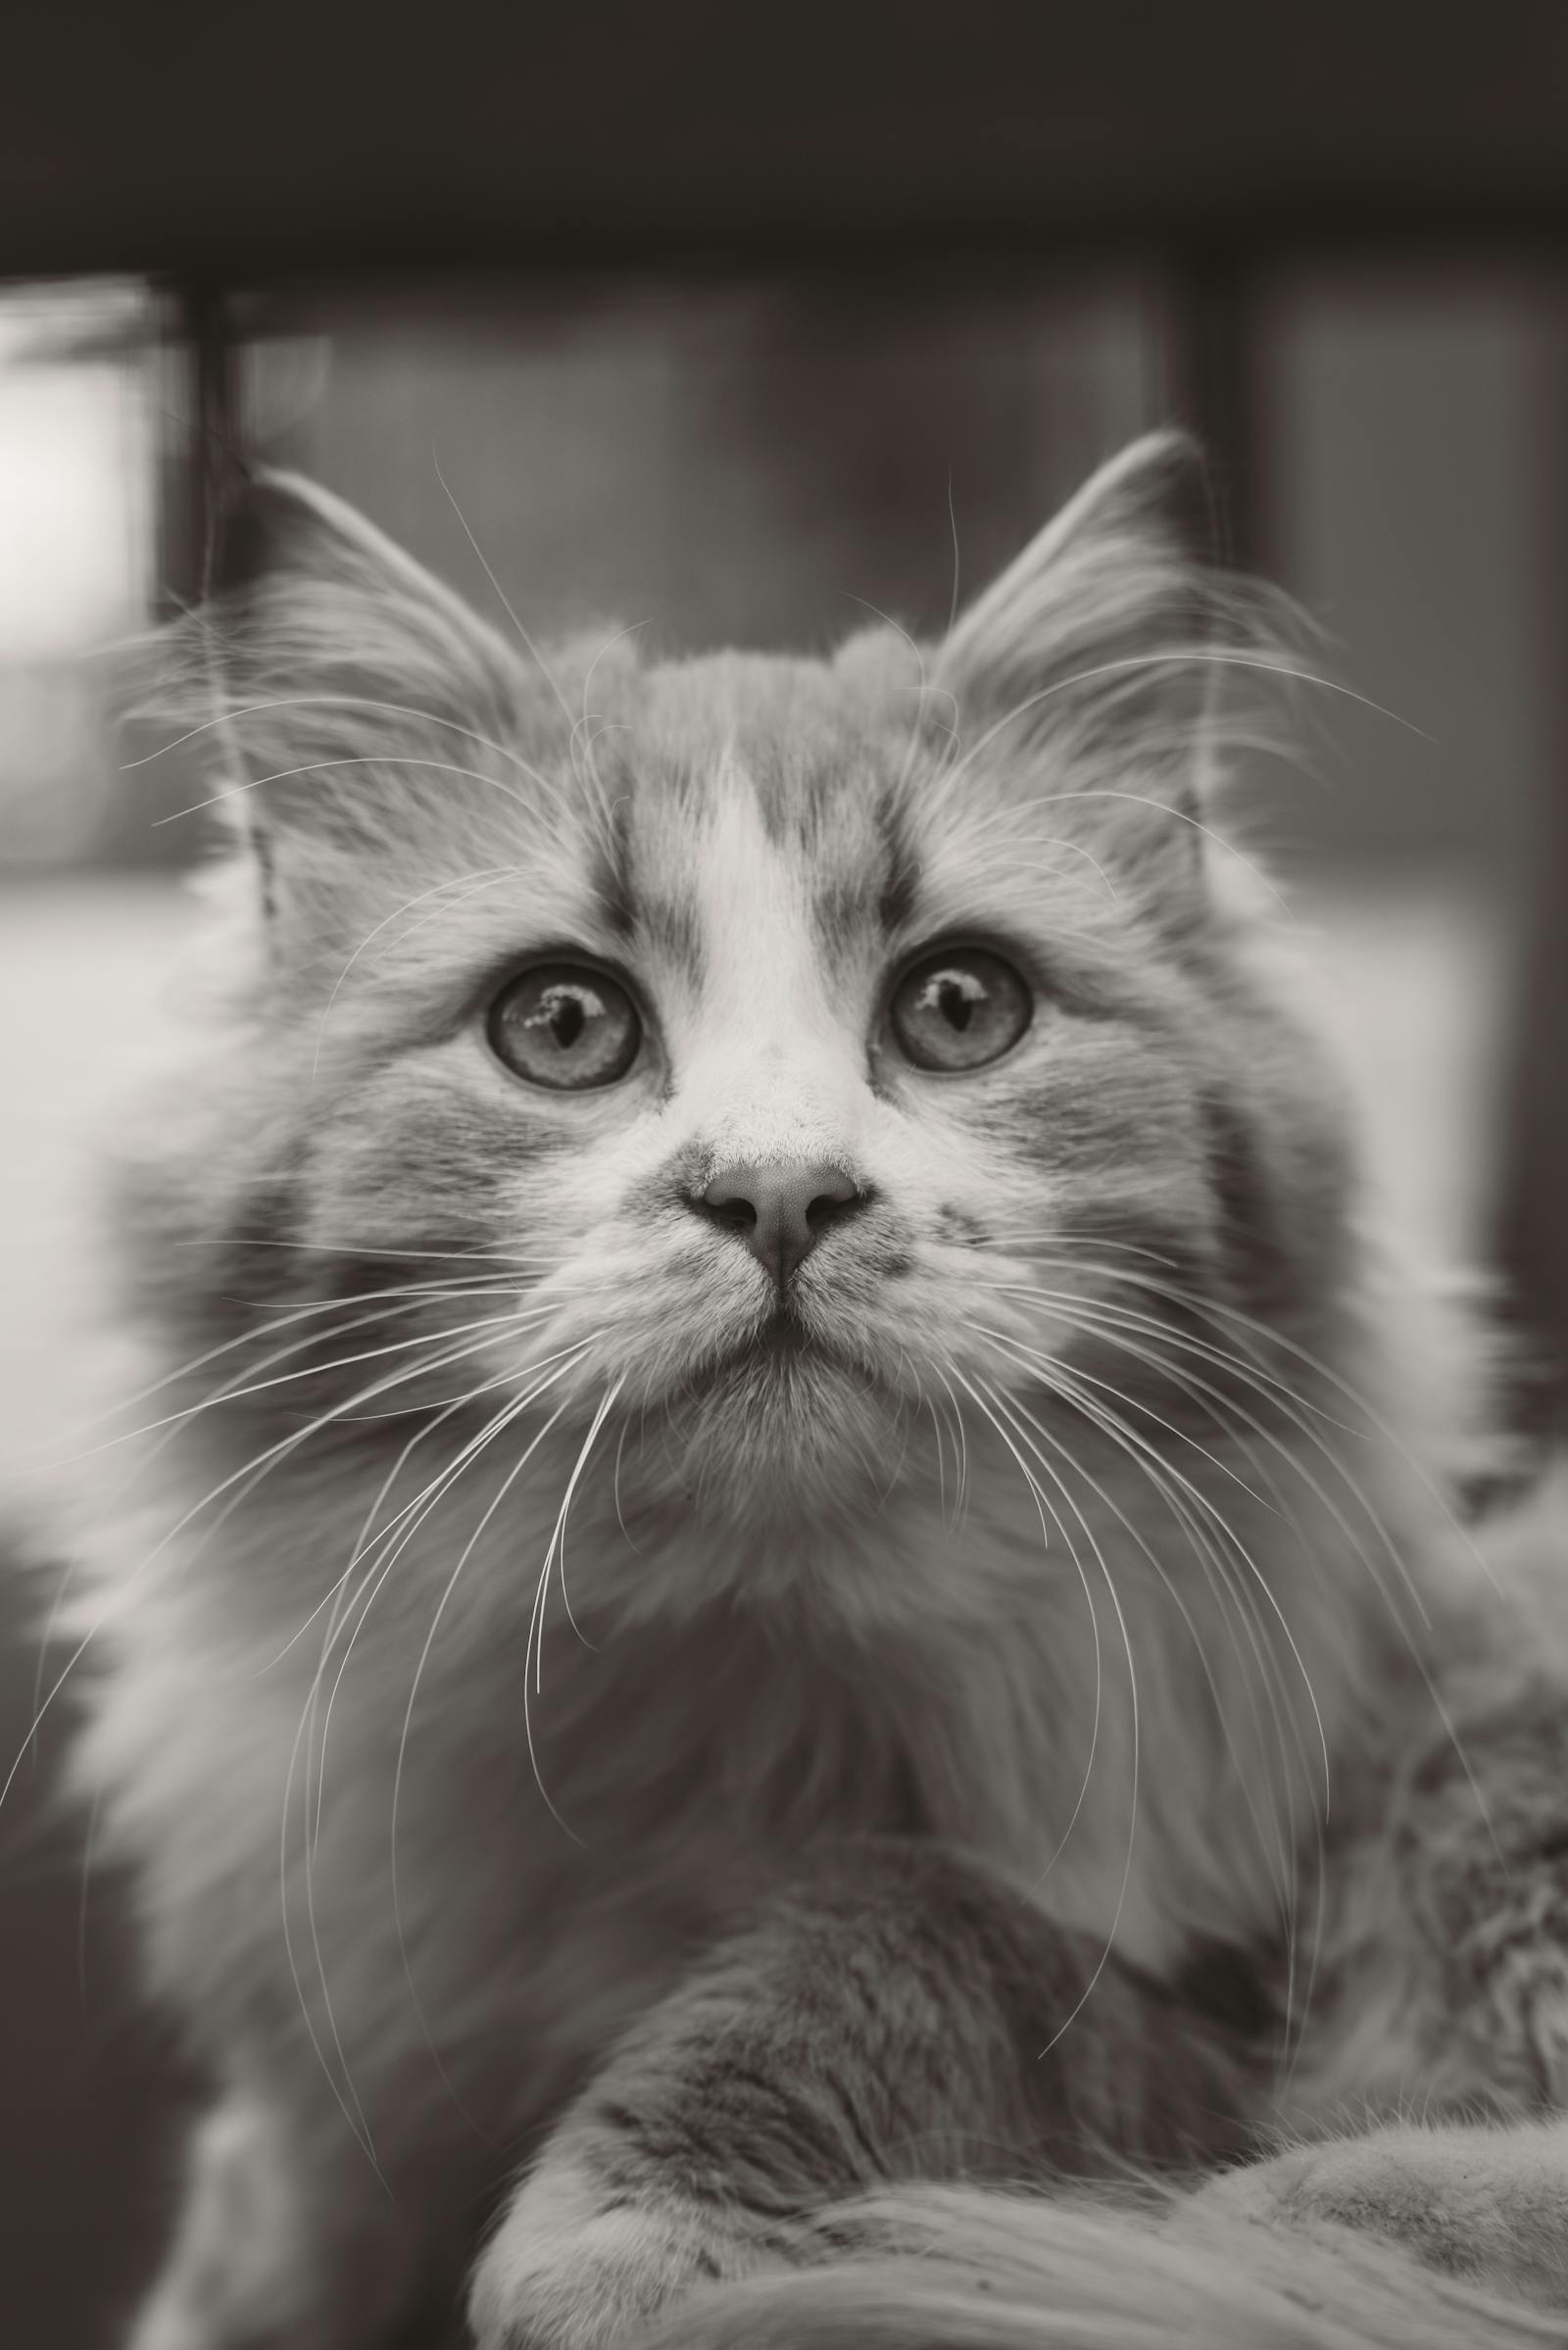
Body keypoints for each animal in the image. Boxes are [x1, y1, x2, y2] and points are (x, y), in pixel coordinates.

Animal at [61, 427, 1568, 2350]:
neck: (746, 1702)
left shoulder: (1193, 1999)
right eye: (564, 1025)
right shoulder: (344, 2076)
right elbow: (271, 2234)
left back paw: (1307, 2212)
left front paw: (626, 2248)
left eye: (959, 1007)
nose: (778, 1194)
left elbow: (891, 1928)